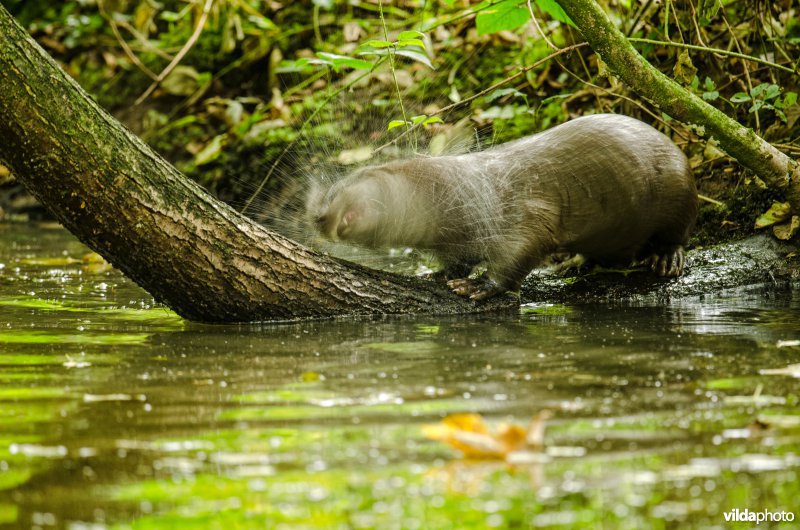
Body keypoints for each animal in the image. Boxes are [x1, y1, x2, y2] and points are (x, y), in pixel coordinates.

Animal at [309, 114, 697, 300]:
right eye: (331, 190)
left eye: (346, 192)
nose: (319, 216)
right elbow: (459, 258)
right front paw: (441, 274)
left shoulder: (518, 211)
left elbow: (522, 250)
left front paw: (482, 286)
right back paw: (577, 264)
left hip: (678, 183)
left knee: (677, 232)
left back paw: (665, 257)